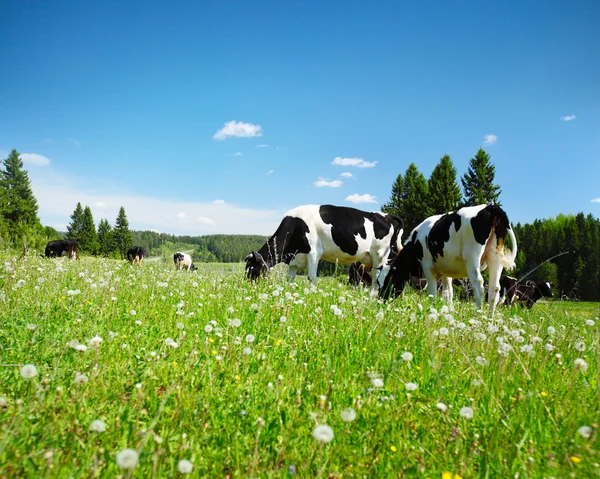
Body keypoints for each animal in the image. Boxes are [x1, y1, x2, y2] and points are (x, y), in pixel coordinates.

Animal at [244, 204, 404, 290]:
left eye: (251, 268)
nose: (247, 287)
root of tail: (388, 216)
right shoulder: (295, 260)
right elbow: (290, 279)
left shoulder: (314, 252)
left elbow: (311, 277)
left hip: (380, 255)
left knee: (378, 280)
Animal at [380, 203, 516, 312]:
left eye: (389, 279)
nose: (381, 300)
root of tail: (490, 207)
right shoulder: (445, 272)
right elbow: (448, 294)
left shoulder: (428, 267)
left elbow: (433, 294)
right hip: (495, 257)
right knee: (494, 289)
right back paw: (489, 320)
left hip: (472, 257)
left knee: (479, 285)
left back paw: (479, 315)